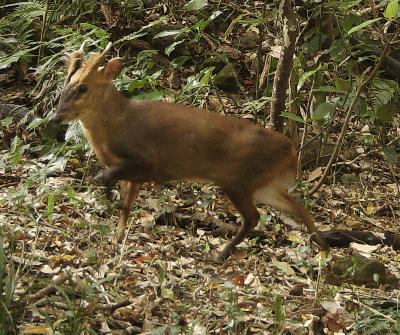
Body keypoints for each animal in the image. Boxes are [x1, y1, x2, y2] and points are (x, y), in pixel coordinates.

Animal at [55, 42, 328, 262]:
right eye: (65, 83)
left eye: (83, 88)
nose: (58, 116)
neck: (116, 124)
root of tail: (292, 151)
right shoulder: (132, 174)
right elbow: (126, 207)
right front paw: (117, 235)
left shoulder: (147, 160)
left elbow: (105, 179)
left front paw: (110, 201)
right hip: (263, 184)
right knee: (297, 206)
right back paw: (324, 247)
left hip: (237, 179)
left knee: (255, 216)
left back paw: (223, 253)